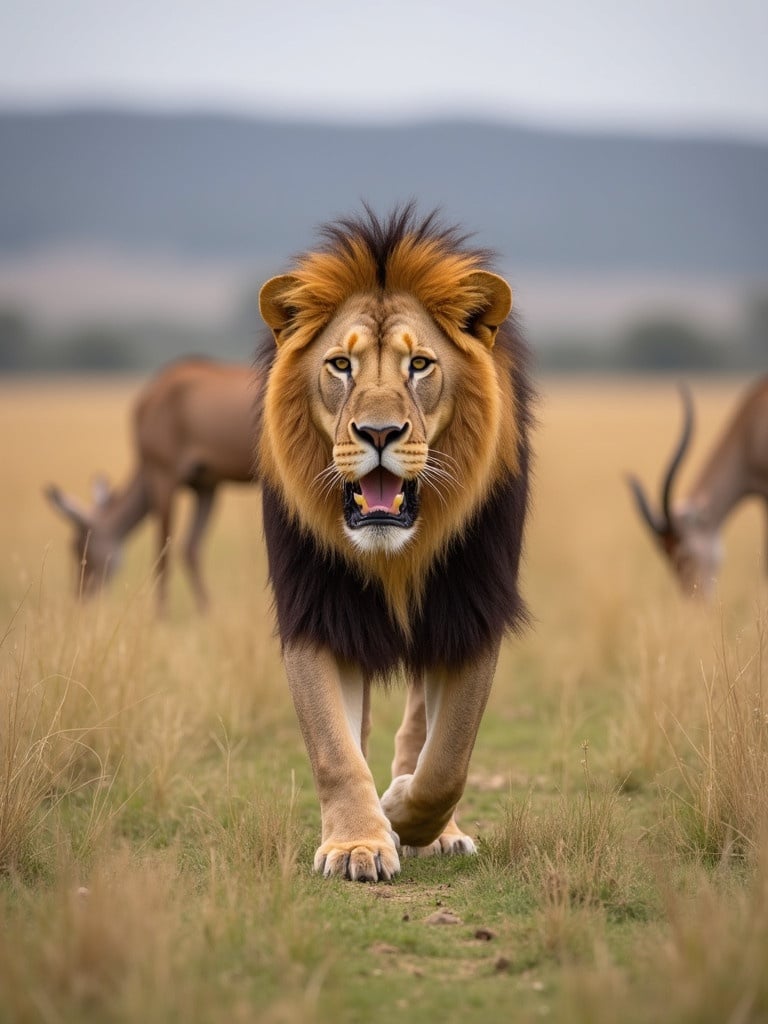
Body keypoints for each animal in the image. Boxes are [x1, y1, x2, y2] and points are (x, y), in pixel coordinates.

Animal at [45, 358, 262, 606]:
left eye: (80, 548)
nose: (82, 596)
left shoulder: (163, 477)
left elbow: (162, 554)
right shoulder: (206, 485)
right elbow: (191, 548)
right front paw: (207, 611)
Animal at [256, 205, 532, 880]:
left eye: (420, 365)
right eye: (340, 365)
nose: (378, 432)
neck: (393, 554)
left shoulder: (470, 608)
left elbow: (448, 758)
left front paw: (402, 810)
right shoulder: (316, 609)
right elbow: (334, 746)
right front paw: (357, 843)